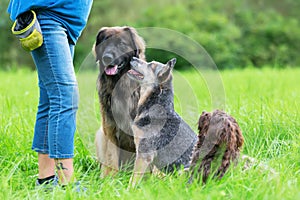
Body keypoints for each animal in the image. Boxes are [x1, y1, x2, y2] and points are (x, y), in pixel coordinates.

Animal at [93, 26, 146, 177]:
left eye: (121, 44)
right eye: (105, 43)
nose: (107, 58)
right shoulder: (110, 128)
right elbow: (111, 159)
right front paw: (110, 179)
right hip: (100, 134)